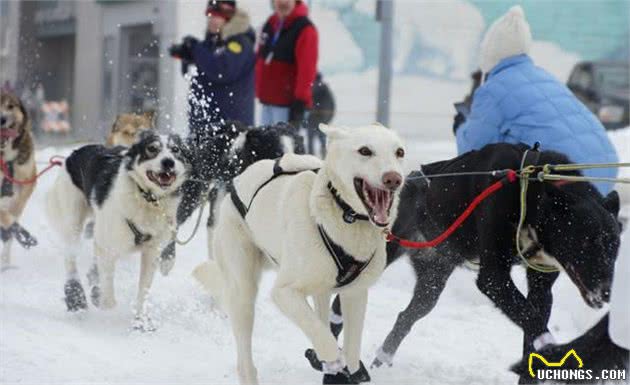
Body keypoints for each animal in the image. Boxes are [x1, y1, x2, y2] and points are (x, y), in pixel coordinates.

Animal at [46, 132, 191, 330]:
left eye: (176, 149)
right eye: (152, 148)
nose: (168, 162)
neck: (146, 198)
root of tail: (73, 154)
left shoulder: (152, 251)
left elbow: (143, 289)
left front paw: (141, 320)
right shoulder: (108, 245)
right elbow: (108, 295)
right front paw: (103, 303)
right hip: (73, 221)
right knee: (70, 258)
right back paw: (76, 296)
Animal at [195, 124, 408, 382]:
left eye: (399, 152)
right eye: (365, 150)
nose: (393, 178)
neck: (343, 214)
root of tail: (239, 181)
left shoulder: (355, 294)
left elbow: (351, 349)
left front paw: (347, 368)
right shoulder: (284, 292)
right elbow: (322, 335)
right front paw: (332, 359)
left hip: (320, 288)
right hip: (243, 293)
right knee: (246, 362)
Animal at [328, 142, 624, 374]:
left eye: (615, 247)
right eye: (586, 242)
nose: (608, 292)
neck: (531, 195)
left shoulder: (541, 287)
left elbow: (532, 323)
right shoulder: (494, 278)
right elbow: (533, 322)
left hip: (432, 283)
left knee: (407, 315)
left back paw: (382, 358)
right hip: (380, 259)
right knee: (341, 305)